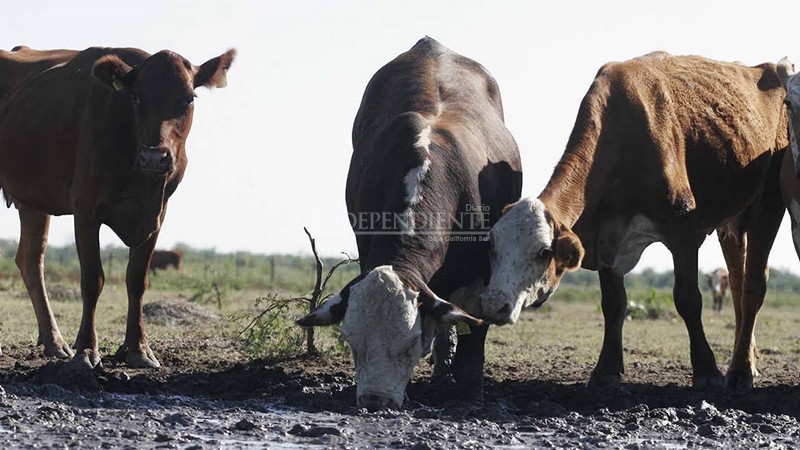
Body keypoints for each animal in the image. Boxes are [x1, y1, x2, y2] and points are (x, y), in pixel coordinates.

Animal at [0, 45, 236, 368]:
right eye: (136, 97)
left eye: (188, 98)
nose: (154, 157)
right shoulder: (85, 209)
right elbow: (92, 279)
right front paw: (87, 349)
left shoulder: (157, 215)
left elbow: (136, 279)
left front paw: (139, 349)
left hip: (33, 201)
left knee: (31, 261)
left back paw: (54, 342)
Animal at [296, 37, 520, 412]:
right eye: (353, 342)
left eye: (410, 344)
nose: (374, 400)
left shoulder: (482, 275)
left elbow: (473, 339)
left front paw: (471, 392)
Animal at [484, 51, 784, 390]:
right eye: (492, 247)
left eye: (543, 252)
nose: (493, 305)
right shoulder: (605, 236)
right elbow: (613, 304)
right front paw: (606, 369)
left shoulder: (681, 225)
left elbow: (688, 298)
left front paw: (706, 370)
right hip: (730, 223)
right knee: (736, 282)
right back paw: (746, 359)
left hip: (768, 203)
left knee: (753, 286)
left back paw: (742, 369)